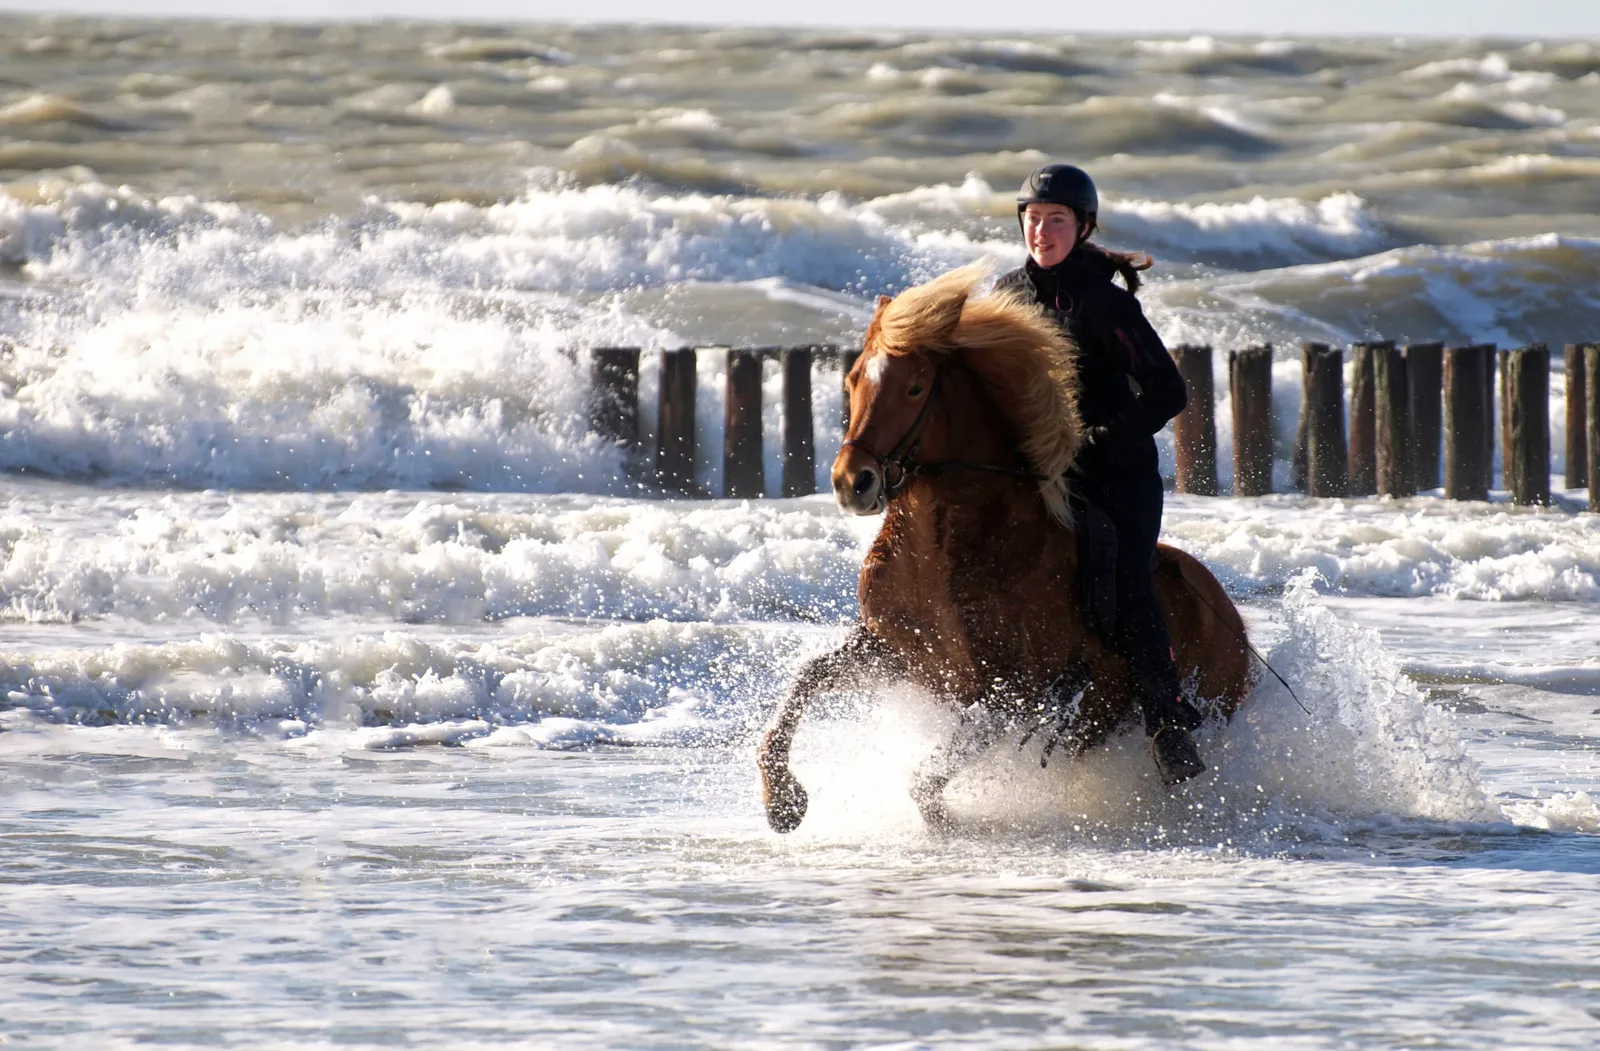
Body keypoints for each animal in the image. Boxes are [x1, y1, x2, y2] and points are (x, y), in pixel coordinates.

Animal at [755, 264, 1253, 834]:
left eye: (915, 387)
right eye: (854, 379)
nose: (851, 482)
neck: (945, 555)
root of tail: (1232, 619)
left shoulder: (1013, 695)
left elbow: (925, 780)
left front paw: (948, 824)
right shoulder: (893, 652)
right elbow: (806, 680)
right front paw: (782, 799)